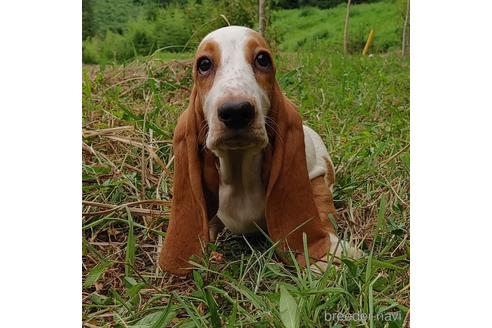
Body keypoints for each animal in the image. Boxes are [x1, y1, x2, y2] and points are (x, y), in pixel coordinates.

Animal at [160, 26, 360, 276]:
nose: (236, 111)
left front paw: (326, 253)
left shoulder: (315, 177)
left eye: (262, 59)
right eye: (204, 64)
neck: (239, 168)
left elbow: (321, 211)